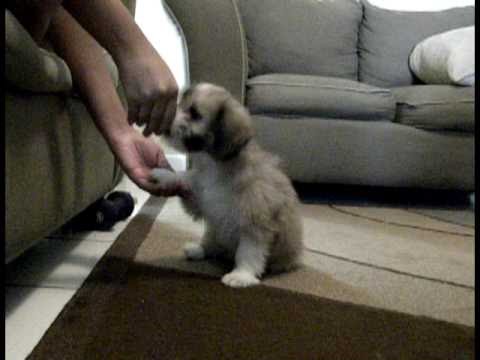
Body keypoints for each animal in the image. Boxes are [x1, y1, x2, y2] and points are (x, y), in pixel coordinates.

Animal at [153, 83, 304, 288]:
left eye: (195, 113)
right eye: (180, 104)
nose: (165, 122)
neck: (216, 165)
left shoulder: (254, 220)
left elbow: (248, 252)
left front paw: (242, 275)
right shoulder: (201, 197)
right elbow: (186, 178)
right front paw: (164, 175)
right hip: (214, 228)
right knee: (210, 239)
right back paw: (200, 249)